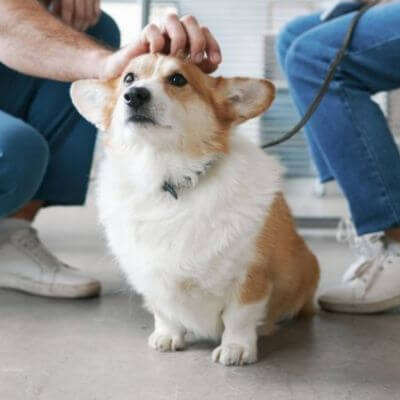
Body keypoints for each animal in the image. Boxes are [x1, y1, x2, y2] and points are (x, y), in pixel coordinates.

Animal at [70, 53, 320, 366]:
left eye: (178, 79)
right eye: (129, 78)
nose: (134, 95)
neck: (167, 177)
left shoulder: (250, 275)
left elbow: (239, 317)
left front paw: (235, 348)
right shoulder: (151, 277)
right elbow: (163, 311)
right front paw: (167, 336)